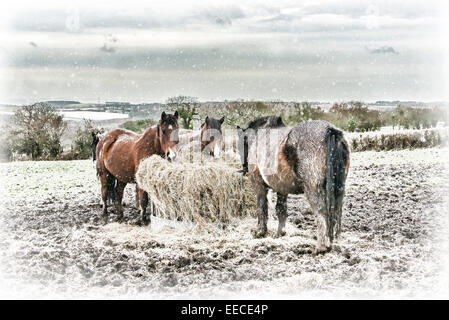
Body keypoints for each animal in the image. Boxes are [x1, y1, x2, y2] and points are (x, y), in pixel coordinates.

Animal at [236, 116, 348, 254]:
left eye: (241, 145)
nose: (244, 168)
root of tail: (330, 130)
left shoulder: (259, 187)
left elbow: (261, 208)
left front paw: (260, 232)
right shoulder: (282, 189)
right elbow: (281, 209)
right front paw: (280, 233)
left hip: (313, 189)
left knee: (322, 213)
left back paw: (321, 247)